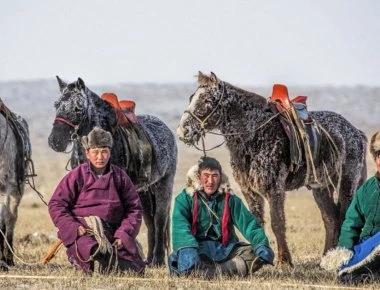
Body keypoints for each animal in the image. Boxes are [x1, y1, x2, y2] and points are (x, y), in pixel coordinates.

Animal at [48, 76, 177, 266]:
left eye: (78, 108)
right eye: (56, 104)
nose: (55, 141)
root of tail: (167, 130)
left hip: (164, 185)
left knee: (159, 220)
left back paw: (158, 260)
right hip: (145, 192)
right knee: (150, 223)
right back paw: (149, 259)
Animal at [178, 71, 368, 266]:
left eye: (207, 100)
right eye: (192, 97)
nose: (183, 131)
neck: (254, 134)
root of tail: (356, 132)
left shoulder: (274, 188)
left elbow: (277, 223)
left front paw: (284, 261)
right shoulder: (249, 190)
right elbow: (256, 222)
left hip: (346, 183)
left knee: (343, 216)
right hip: (321, 188)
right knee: (331, 219)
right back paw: (325, 258)